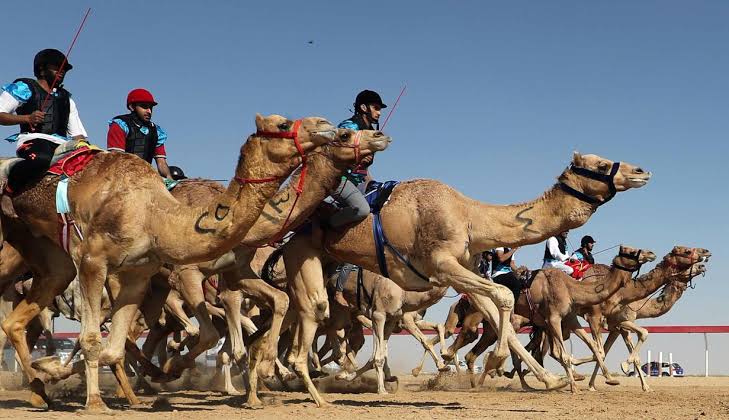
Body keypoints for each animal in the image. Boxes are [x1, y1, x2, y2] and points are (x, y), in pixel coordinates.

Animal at [0, 114, 336, 410]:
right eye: (282, 124)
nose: (329, 126)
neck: (155, 216)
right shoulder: (99, 261)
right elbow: (95, 338)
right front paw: (95, 402)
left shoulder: (144, 274)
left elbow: (115, 346)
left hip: (49, 255)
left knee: (18, 319)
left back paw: (46, 390)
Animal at [276, 153, 652, 406]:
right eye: (601, 165)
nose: (642, 170)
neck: (468, 216)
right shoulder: (441, 264)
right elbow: (504, 296)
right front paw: (498, 362)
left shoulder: (461, 273)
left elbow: (500, 313)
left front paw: (550, 379)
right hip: (302, 255)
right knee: (308, 317)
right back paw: (307, 386)